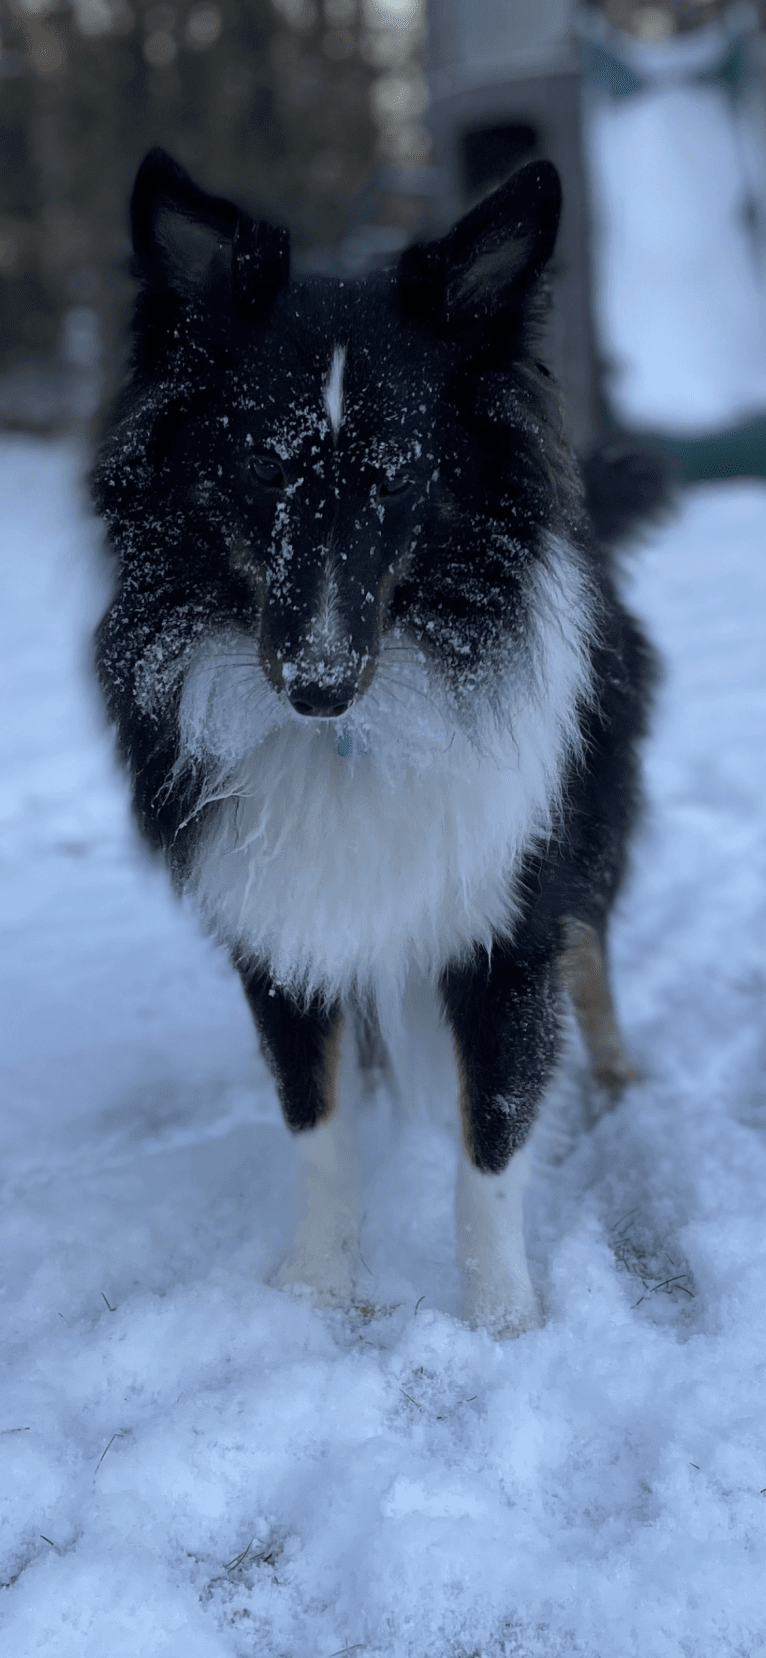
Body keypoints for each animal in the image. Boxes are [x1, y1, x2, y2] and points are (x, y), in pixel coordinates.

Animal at [92, 142, 659, 1333]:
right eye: (263, 468)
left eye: (398, 477)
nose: (316, 685)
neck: (357, 729)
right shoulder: (278, 928)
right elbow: (316, 1120)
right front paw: (316, 1286)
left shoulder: (507, 926)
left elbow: (491, 1140)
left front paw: (501, 1321)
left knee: (596, 958)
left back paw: (618, 1085)